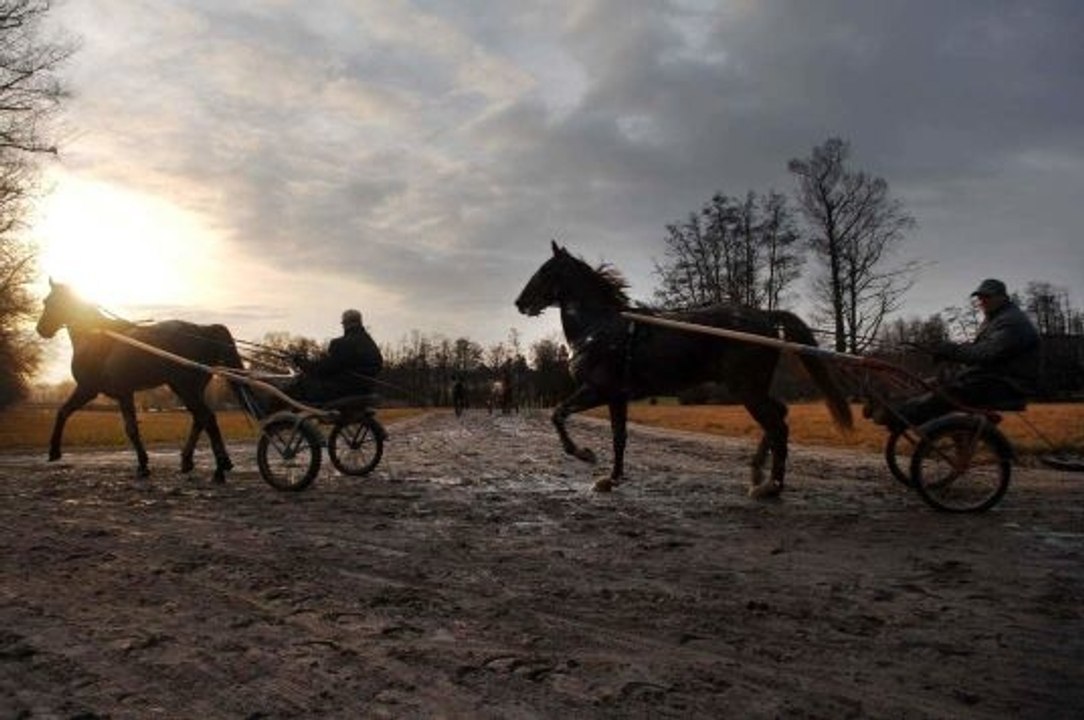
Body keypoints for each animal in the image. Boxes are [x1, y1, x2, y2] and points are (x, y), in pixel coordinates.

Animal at [35, 279, 245, 482]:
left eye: (49, 302)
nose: (41, 329)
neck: (97, 337)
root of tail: (203, 330)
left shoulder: (90, 389)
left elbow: (66, 413)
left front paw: (54, 451)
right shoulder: (123, 393)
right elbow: (130, 427)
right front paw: (143, 464)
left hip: (187, 388)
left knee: (208, 418)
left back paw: (219, 469)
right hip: (186, 388)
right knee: (199, 419)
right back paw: (189, 461)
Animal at [514, 241, 853, 495]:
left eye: (545, 271)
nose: (520, 302)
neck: (602, 328)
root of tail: (765, 316)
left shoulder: (597, 390)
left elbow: (558, 414)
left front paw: (584, 454)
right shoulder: (617, 396)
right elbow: (618, 436)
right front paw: (613, 478)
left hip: (746, 388)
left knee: (778, 425)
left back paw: (772, 486)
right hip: (752, 388)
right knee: (779, 416)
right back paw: (758, 472)